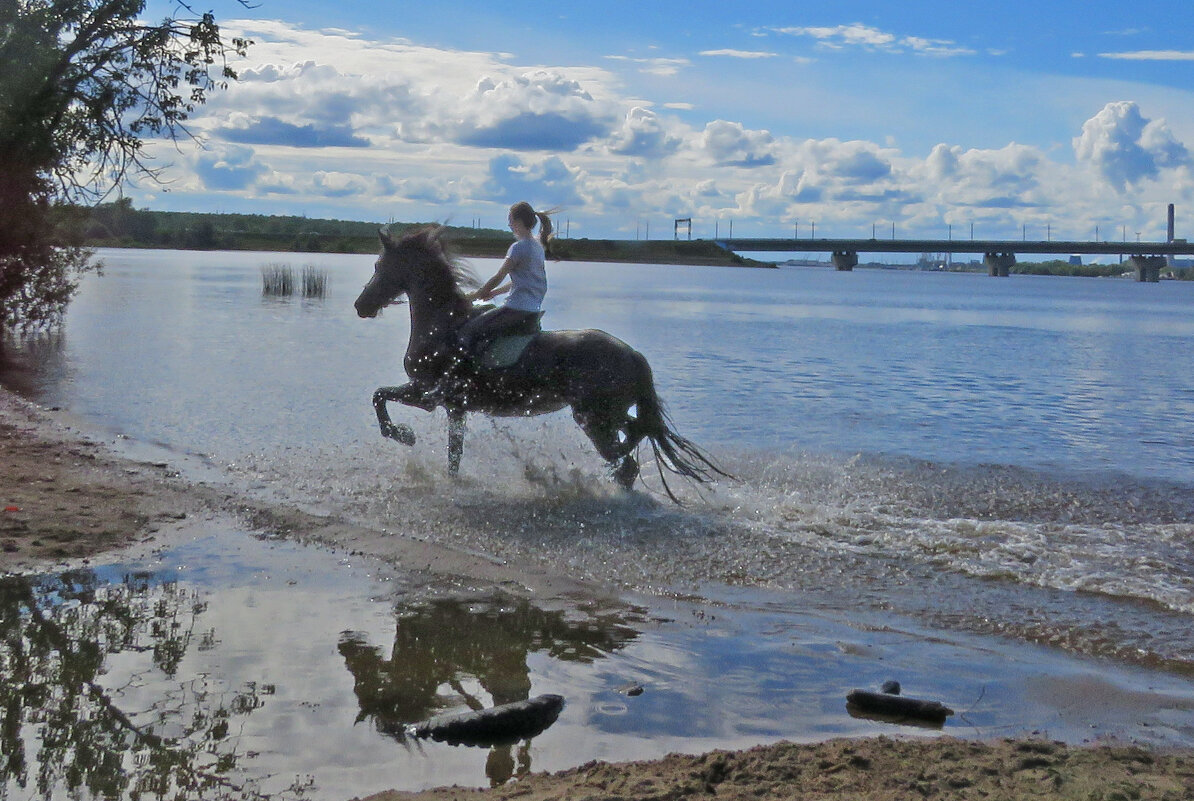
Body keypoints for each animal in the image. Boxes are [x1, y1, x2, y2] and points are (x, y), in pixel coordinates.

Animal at [353, 226, 725, 501]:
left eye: (379, 267)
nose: (361, 306)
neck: (444, 325)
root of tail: (633, 355)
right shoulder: (455, 407)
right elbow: (453, 454)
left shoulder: (428, 394)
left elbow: (378, 396)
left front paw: (403, 435)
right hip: (606, 414)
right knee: (633, 441)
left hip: (595, 417)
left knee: (626, 460)